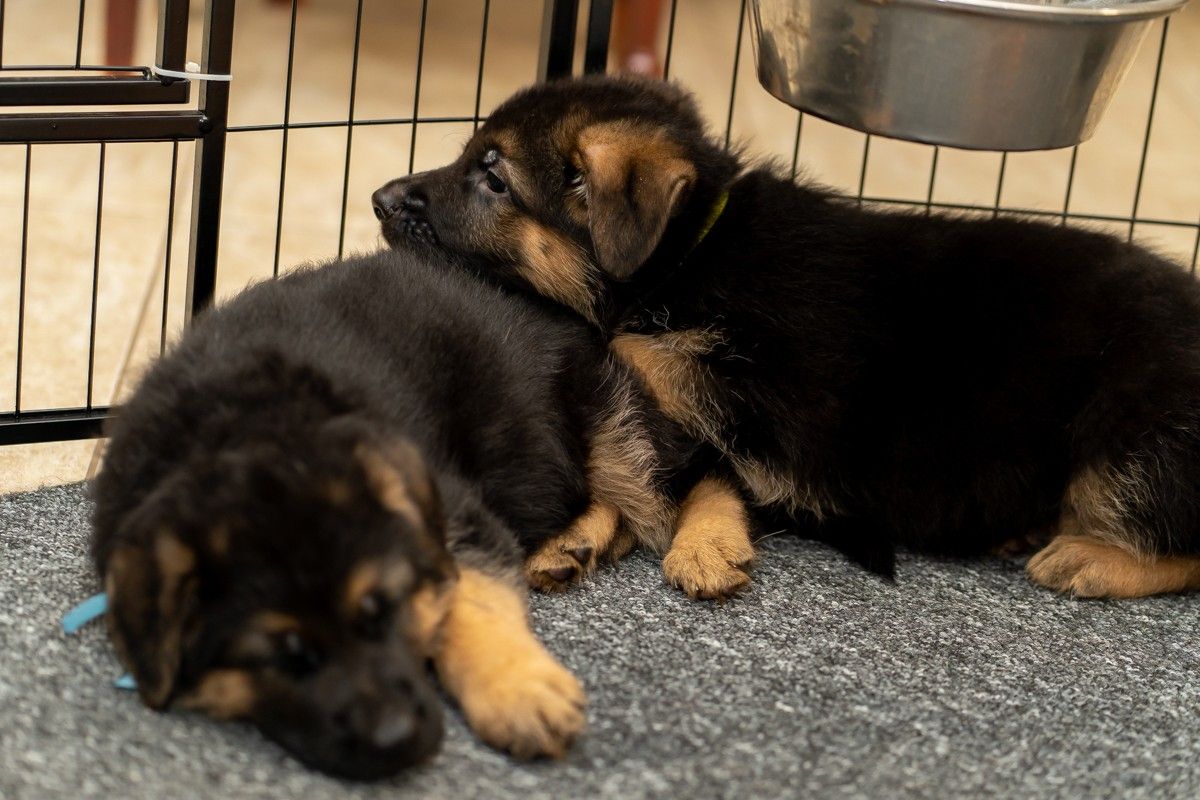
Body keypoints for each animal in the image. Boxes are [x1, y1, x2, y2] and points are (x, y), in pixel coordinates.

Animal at [91, 246, 699, 778]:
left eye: (382, 608)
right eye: (284, 656)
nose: (397, 740)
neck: (246, 425)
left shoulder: (454, 516)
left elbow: (473, 599)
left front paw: (518, 690)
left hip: (609, 417)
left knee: (650, 494)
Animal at [373, 74, 1200, 600]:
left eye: (494, 178)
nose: (378, 198)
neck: (690, 261)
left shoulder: (772, 434)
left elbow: (695, 472)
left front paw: (702, 544)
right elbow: (638, 462)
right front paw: (580, 533)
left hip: (1130, 433)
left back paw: (1092, 559)